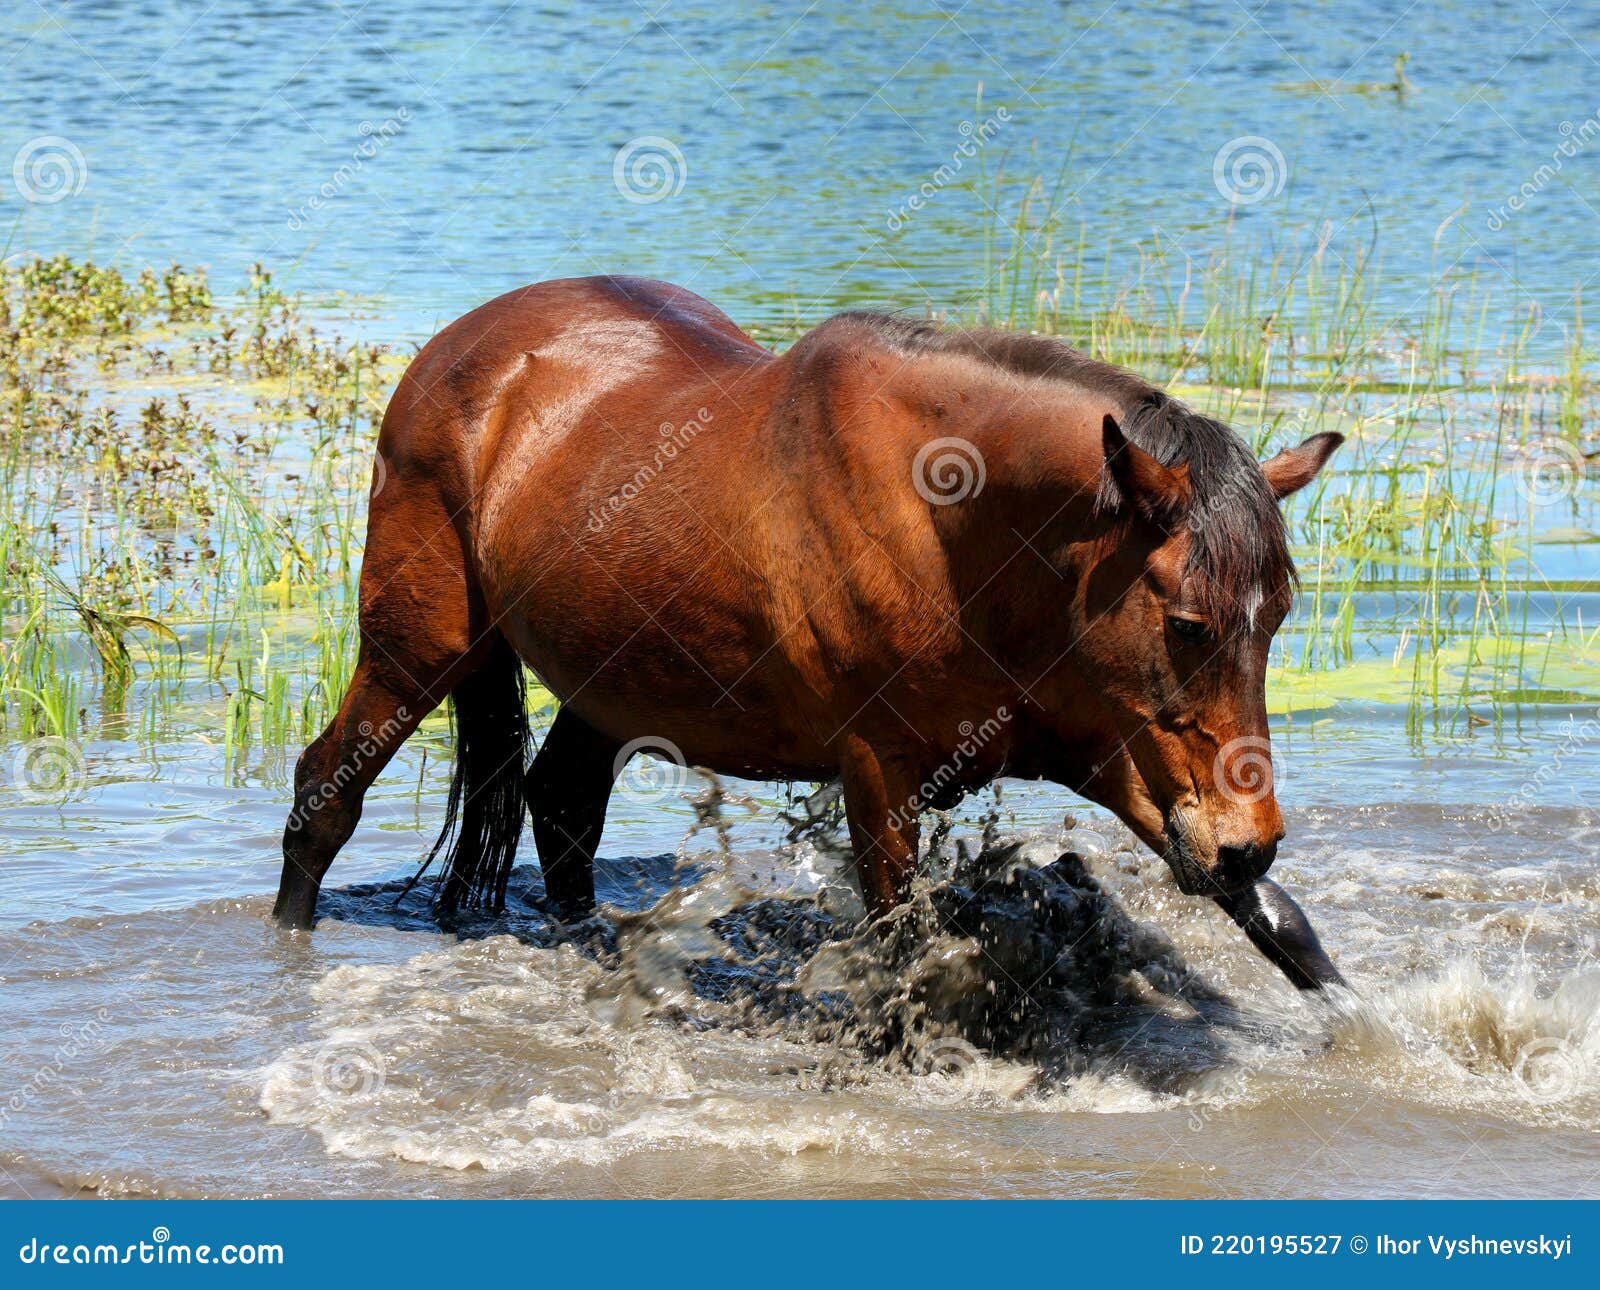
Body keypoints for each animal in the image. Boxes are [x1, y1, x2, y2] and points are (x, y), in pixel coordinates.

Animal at [274, 275, 1346, 991]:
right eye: (1188, 623)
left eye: (1275, 618)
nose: (1252, 841)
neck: (953, 526)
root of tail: (454, 354)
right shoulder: (879, 772)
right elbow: (902, 940)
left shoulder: (1112, 755)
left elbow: (1278, 921)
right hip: (416, 650)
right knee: (326, 791)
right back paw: (291, 932)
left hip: (610, 683)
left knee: (563, 803)